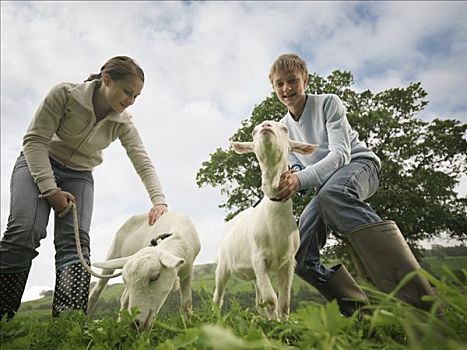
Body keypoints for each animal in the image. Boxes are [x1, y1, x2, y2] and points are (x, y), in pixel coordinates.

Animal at [215, 119, 318, 320]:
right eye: (253, 131)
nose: (265, 126)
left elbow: (284, 303)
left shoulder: (288, 262)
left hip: (255, 275)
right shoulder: (259, 259)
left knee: (258, 302)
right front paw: (275, 323)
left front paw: (281, 323)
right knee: (218, 297)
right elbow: (271, 300)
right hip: (223, 264)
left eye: (285, 129)